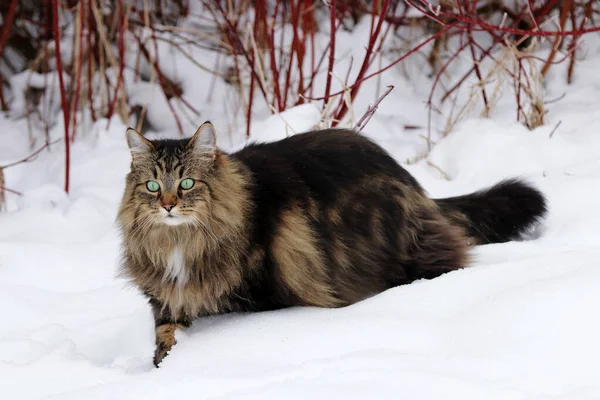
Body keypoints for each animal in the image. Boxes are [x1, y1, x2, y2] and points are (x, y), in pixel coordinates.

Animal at [115, 121, 548, 366]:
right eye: (152, 185)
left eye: (187, 182)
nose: (167, 204)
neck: (180, 241)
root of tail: (414, 185)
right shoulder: (167, 301)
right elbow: (165, 336)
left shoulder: (257, 296)